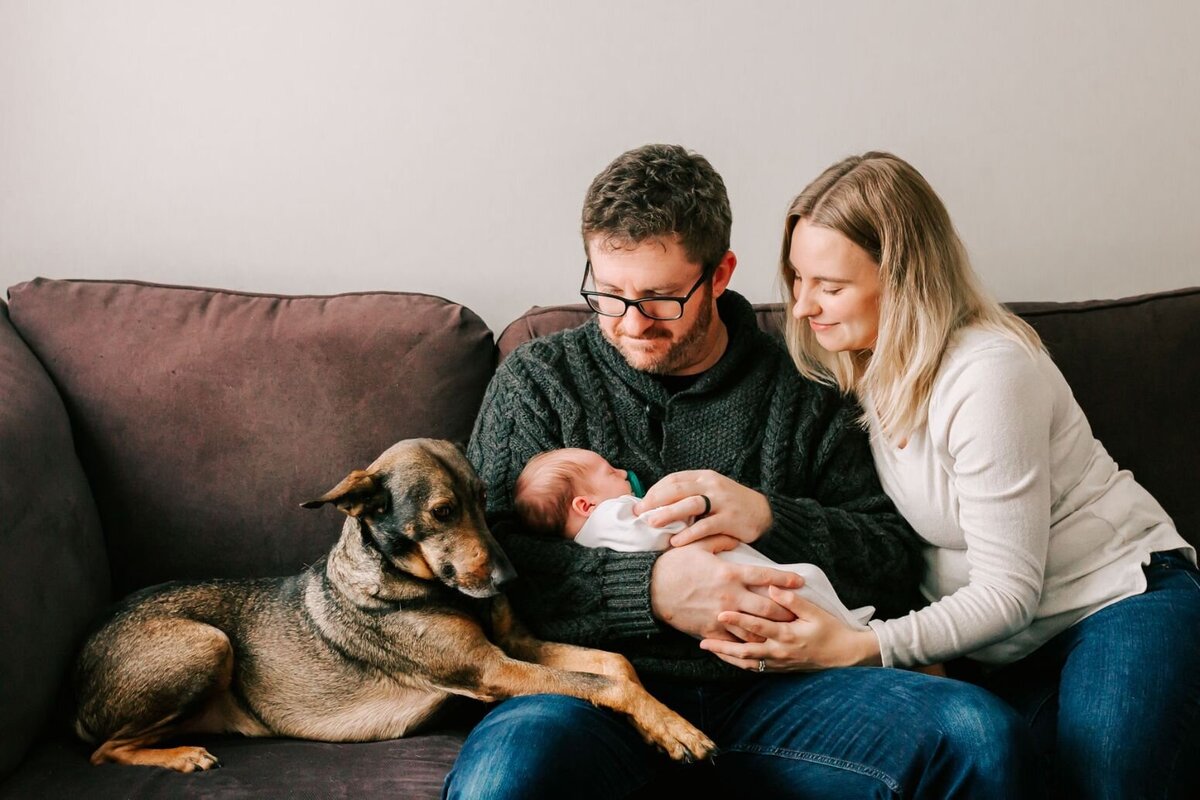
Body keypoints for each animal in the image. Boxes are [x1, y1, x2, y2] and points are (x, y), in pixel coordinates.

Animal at [75, 441, 715, 772]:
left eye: (482, 497)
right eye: (442, 512)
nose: (509, 579)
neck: (427, 585)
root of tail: (78, 680)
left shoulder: (516, 644)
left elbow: (615, 666)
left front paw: (660, 726)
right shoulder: (492, 669)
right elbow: (603, 684)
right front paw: (679, 730)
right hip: (206, 642)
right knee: (105, 750)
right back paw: (182, 756)